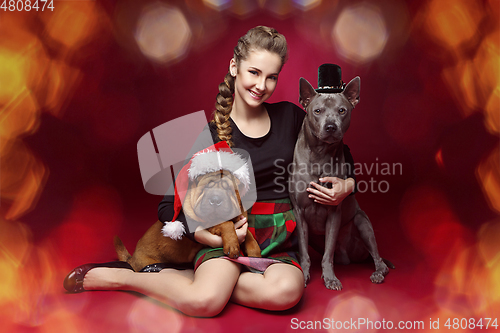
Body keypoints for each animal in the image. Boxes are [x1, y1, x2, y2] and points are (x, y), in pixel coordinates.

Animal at [114, 170, 262, 272]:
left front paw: (255, 255)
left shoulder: (242, 221)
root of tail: (131, 258)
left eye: (228, 188)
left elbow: (249, 236)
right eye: (205, 187)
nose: (215, 200)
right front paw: (232, 245)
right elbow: (227, 224)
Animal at [292, 76, 392, 290]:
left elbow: (328, 252)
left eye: (342, 110)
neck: (320, 154)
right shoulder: (299, 213)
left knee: (379, 260)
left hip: (363, 223)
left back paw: (378, 273)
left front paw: (330, 278)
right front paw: (304, 274)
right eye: (317, 111)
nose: (331, 127)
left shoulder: (334, 212)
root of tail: (350, 258)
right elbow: (304, 251)